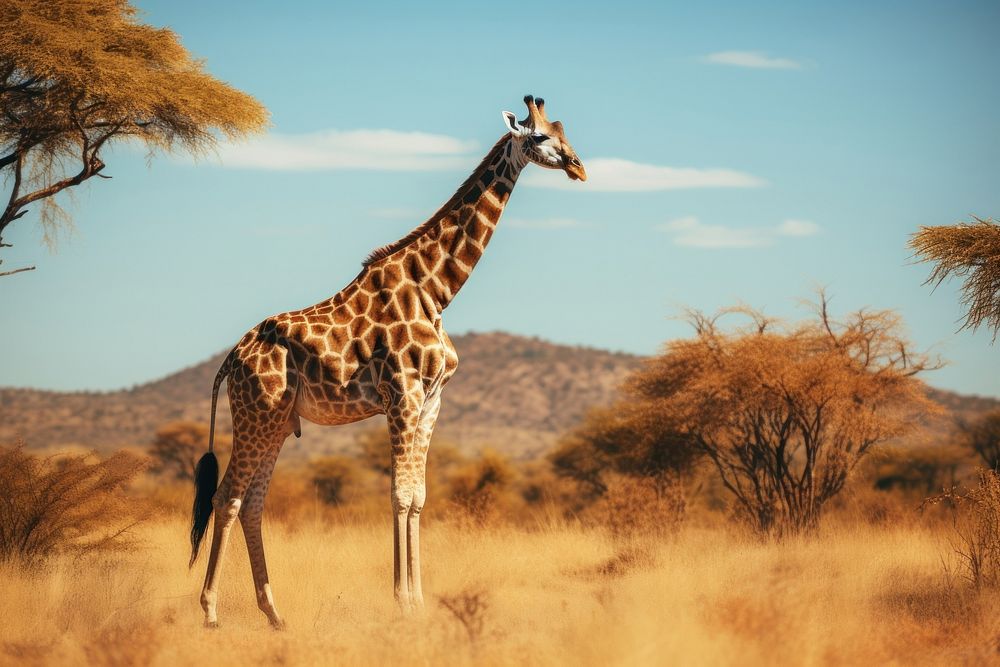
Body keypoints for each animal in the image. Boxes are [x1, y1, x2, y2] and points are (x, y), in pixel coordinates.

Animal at [188, 94, 584, 628]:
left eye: (564, 132)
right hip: (256, 413)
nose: (578, 166)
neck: (436, 291)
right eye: (540, 137)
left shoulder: (432, 400)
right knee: (226, 496)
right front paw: (404, 602)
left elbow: (417, 497)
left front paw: (419, 600)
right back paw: (210, 612)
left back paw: (274, 613)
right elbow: (398, 494)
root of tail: (231, 358)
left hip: (277, 422)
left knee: (251, 502)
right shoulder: (403, 392)